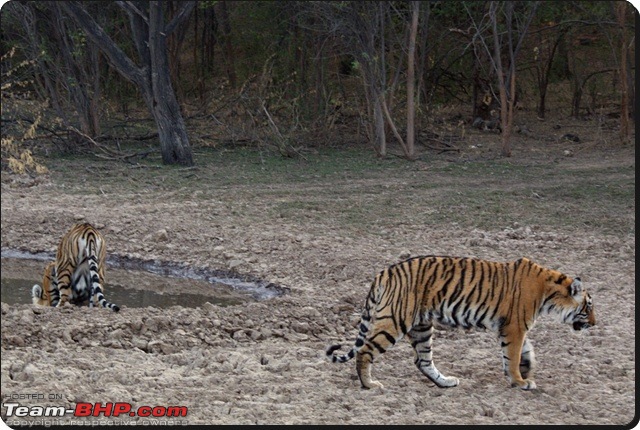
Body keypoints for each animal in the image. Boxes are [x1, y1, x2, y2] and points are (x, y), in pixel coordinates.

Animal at [328, 255, 596, 390]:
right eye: (588, 306)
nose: (594, 324)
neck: (549, 293)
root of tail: (383, 272)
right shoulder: (514, 327)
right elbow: (513, 355)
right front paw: (520, 381)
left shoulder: (513, 327)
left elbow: (525, 351)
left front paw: (526, 369)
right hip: (395, 320)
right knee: (365, 351)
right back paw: (369, 385)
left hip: (421, 326)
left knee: (422, 360)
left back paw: (446, 382)